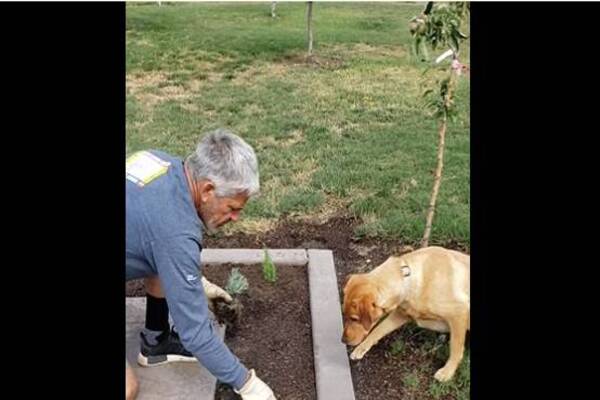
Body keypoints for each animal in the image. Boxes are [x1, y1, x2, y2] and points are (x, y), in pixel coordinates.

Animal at [342, 247, 468, 382]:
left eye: (354, 319)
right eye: (344, 314)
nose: (343, 340)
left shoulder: (459, 314)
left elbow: (455, 348)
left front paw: (448, 371)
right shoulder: (399, 315)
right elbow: (378, 330)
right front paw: (361, 348)